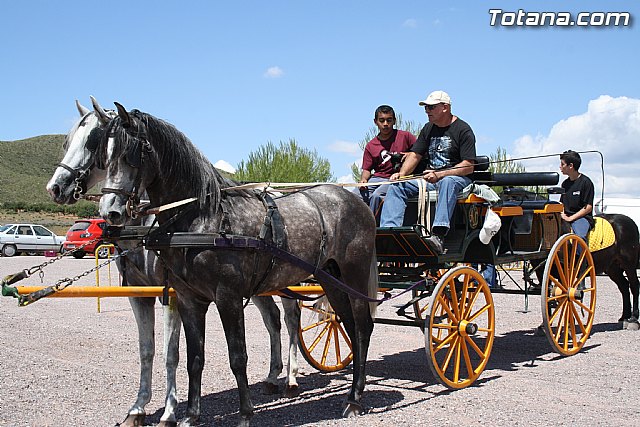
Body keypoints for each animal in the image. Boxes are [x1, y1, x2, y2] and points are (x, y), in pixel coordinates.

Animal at [46, 99, 304, 426]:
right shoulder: (139, 295)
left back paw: (292, 378)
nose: (56, 187)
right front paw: (137, 408)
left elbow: (172, 353)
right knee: (272, 319)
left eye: (95, 141)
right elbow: (147, 350)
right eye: (67, 142)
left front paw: (169, 411)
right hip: (258, 285)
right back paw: (272, 377)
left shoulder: (172, 296)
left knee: (292, 318)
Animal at [97, 103, 378, 426]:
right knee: (347, 325)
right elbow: (195, 359)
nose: (110, 212)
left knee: (362, 328)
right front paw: (191, 415)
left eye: (130, 154)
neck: (203, 218)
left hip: (354, 276)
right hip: (332, 280)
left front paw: (245, 413)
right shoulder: (189, 299)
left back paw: (354, 398)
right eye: (104, 156)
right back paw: (352, 390)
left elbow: (237, 356)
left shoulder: (227, 297)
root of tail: (356, 201)